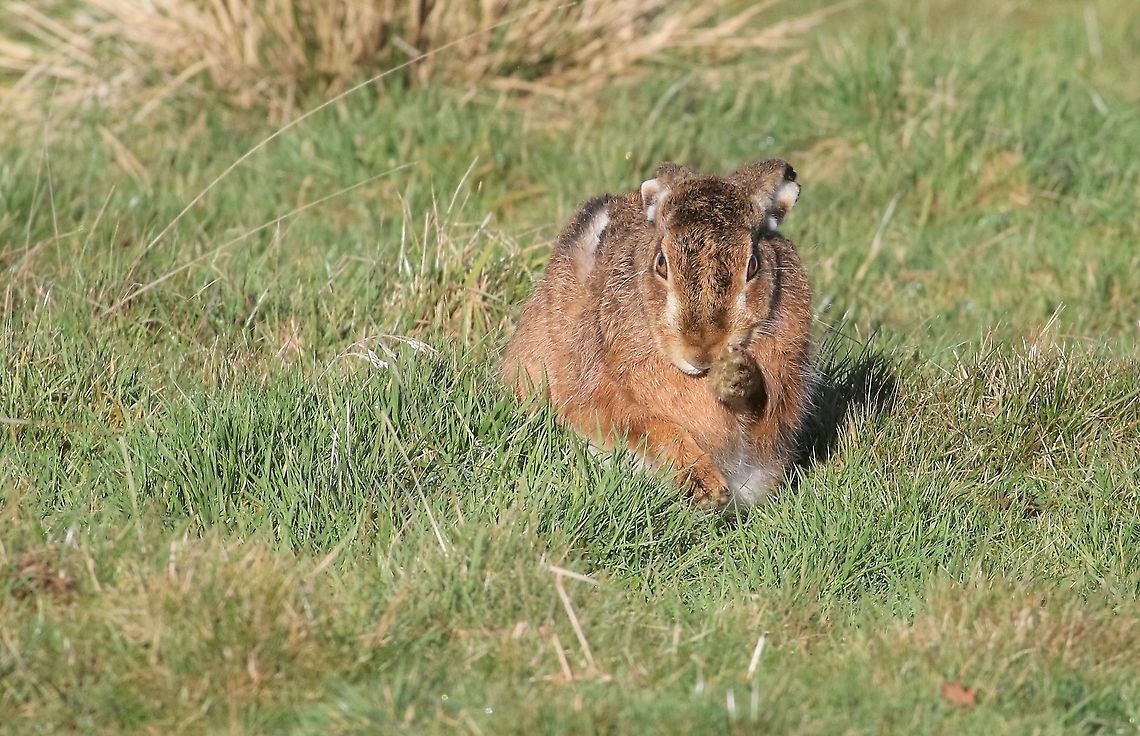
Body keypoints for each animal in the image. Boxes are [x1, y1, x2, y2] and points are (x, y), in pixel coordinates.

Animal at [501, 159, 814, 509]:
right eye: (661, 263)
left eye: (753, 265)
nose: (702, 350)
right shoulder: (602, 393)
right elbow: (650, 427)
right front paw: (706, 485)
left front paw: (737, 378)